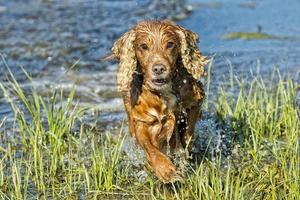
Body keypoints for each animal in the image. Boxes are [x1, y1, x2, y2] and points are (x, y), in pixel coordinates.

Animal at [108, 20, 209, 183]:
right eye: (143, 46)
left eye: (170, 44)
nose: (159, 68)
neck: (163, 91)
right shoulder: (142, 121)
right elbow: (151, 148)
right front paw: (166, 170)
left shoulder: (194, 101)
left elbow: (188, 132)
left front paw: (183, 151)